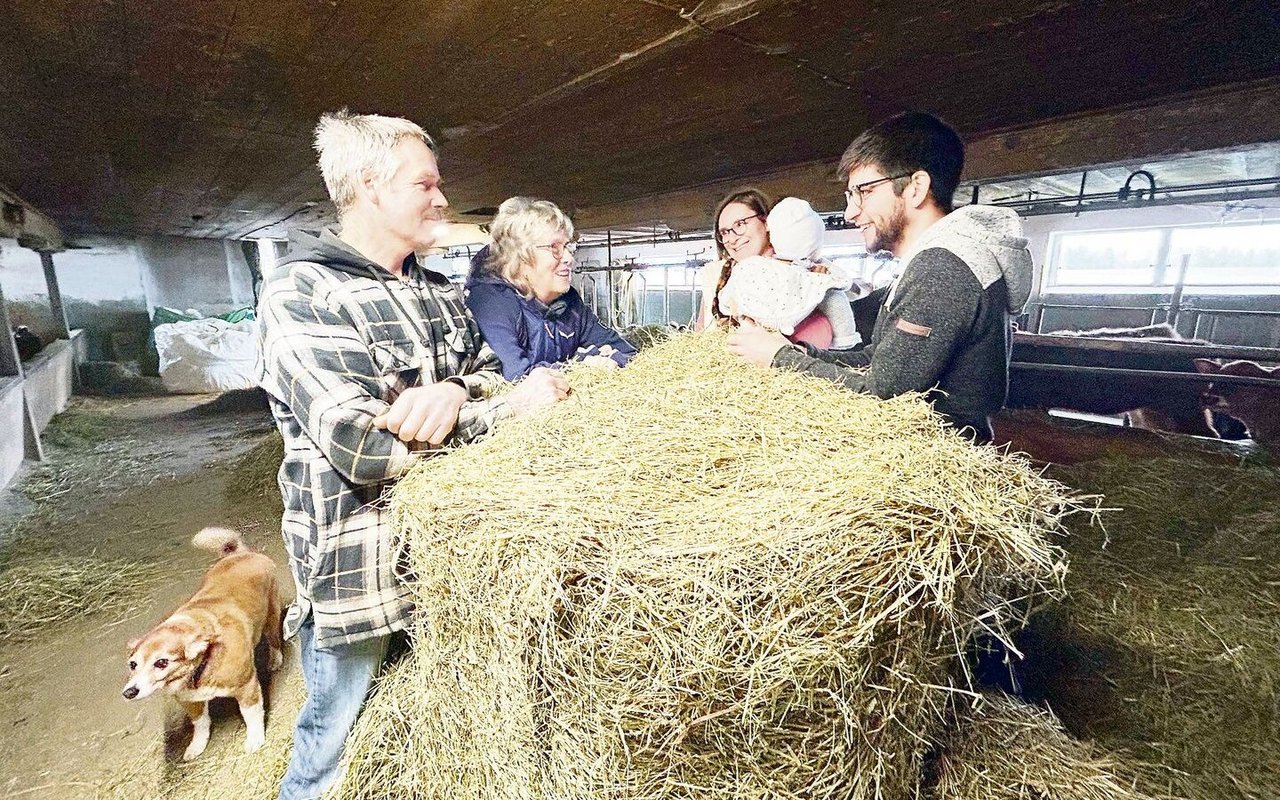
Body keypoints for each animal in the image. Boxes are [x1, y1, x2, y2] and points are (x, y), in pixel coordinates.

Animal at [123, 527, 284, 757]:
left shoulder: (247, 688)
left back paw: (275, 660)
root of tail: (240, 554)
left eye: (162, 662)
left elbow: (252, 717)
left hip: (271, 617)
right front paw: (196, 746)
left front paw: (254, 740)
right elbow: (200, 724)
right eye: (132, 664)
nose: (129, 692)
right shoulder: (189, 701)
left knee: (275, 641)